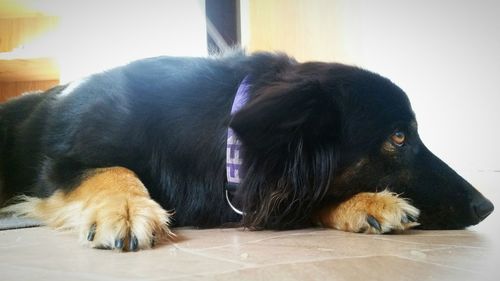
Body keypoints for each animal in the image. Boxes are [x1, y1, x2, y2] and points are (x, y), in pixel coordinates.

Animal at [0, 51, 492, 250]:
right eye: (398, 137)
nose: (486, 206)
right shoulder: (63, 164)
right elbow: (112, 170)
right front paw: (125, 209)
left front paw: (368, 203)